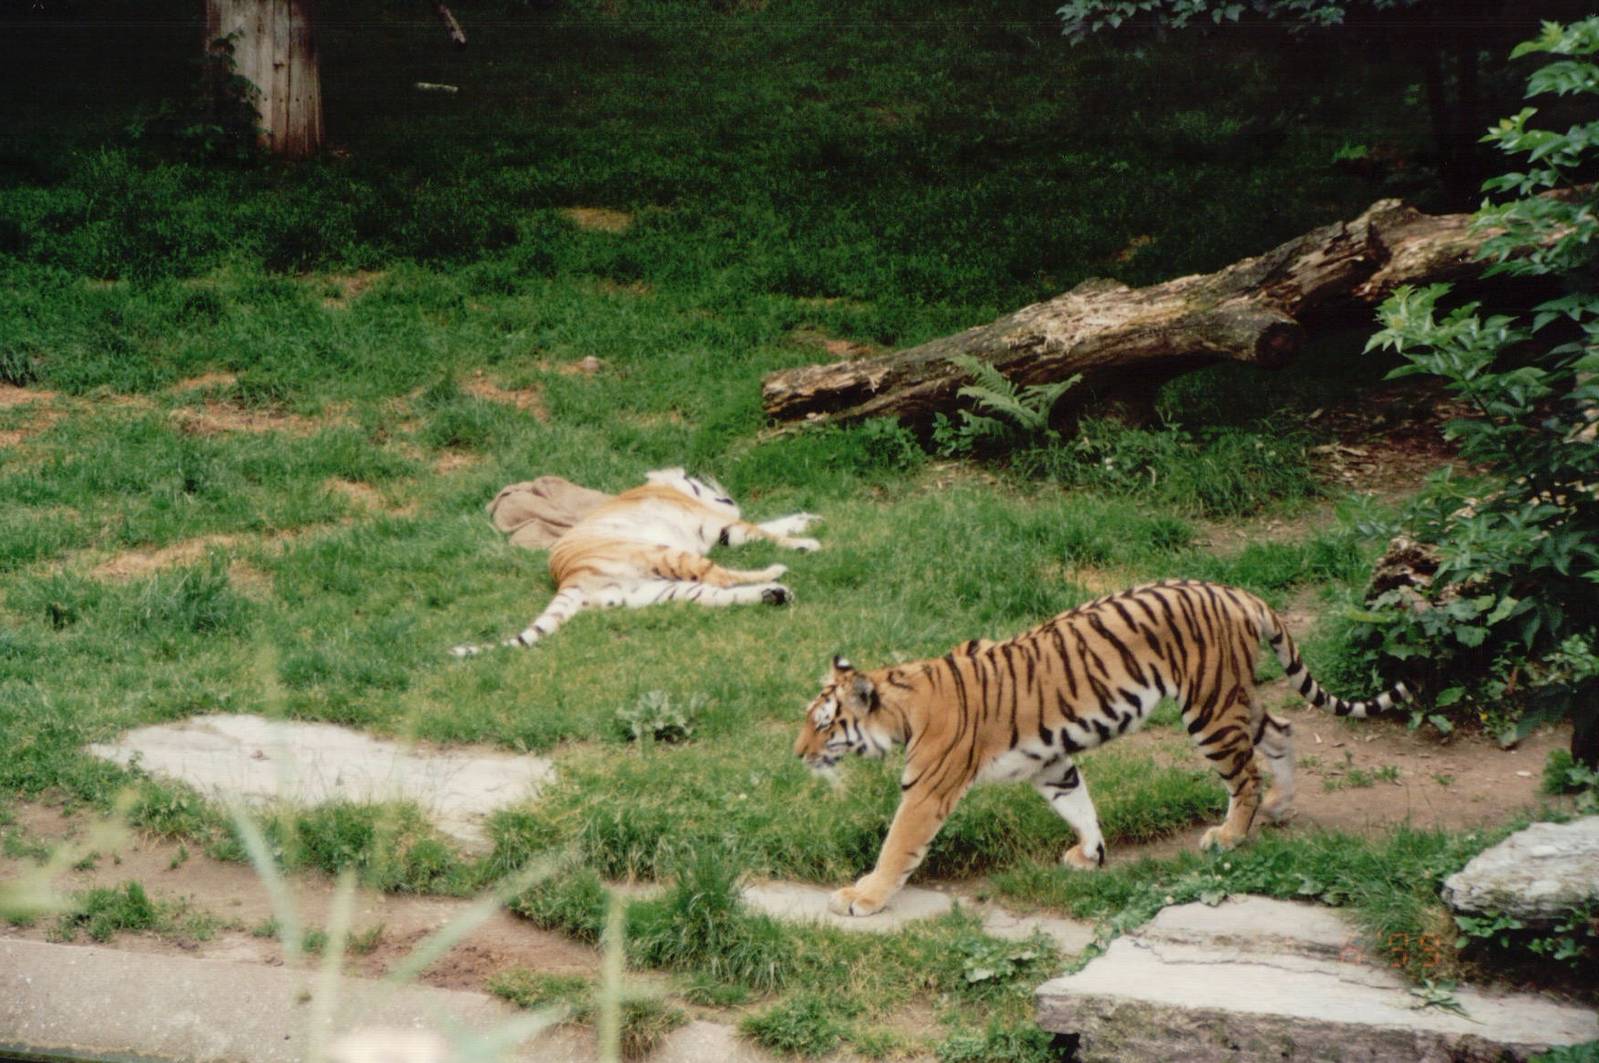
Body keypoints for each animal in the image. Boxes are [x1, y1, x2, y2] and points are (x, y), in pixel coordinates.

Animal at [451, 468, 820, 657]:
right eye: (692, 476)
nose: (708, 478)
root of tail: (569, 577)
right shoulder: (722, 526)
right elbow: (765, 531)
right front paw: (806, 542)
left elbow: (775, 524)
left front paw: (809, 518)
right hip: (665, 553)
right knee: (721, 577)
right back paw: (777, 573)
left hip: (663, 591)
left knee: (719, 594)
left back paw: (776, 594)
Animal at [793, 579, 1410, 917]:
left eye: (824, 724)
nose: (797, 755)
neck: (902, 705)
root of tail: (1235, 590)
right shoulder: (1050, 762)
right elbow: (1078, 804)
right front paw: (1090, 854)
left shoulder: (927, 790)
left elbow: (897, 846)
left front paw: (862, 896)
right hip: (1235, 696)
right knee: (1281, 731)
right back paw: (1281, 808)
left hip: (1209, 708)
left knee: (1245, 775)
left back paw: (1231, 835)